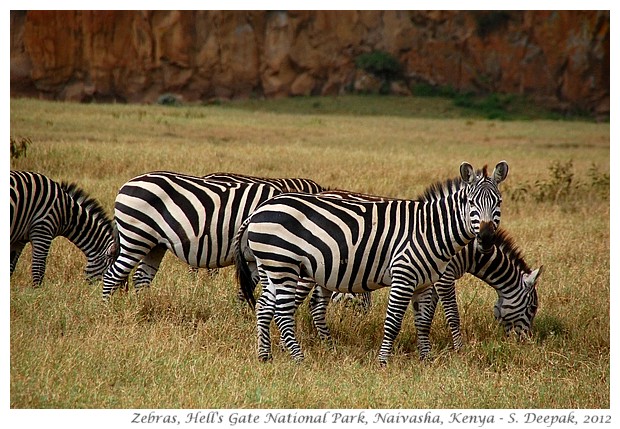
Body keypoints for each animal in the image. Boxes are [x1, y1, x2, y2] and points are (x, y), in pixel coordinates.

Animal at [101, 170, 324, 298]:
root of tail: (126, 184)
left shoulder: (253, 258)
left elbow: (246, 290)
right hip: (136, 237)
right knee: (112, 275)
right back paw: (108, 311)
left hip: (155, 244)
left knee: (141, 278)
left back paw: (143, 308)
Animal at [235, 162, 512, 362]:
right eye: (470, 202)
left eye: (498, 202)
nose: (487, 238)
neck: (430, 229)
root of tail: (258, 211)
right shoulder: (404, 275)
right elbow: (393, 322)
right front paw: (383, 361)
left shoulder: (424, 283)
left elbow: (423, 323)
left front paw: (426, 360)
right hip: (285, 266)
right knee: (282, 313)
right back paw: (298, 359)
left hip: (271, 267)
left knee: (264, 306)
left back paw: (265, 356)